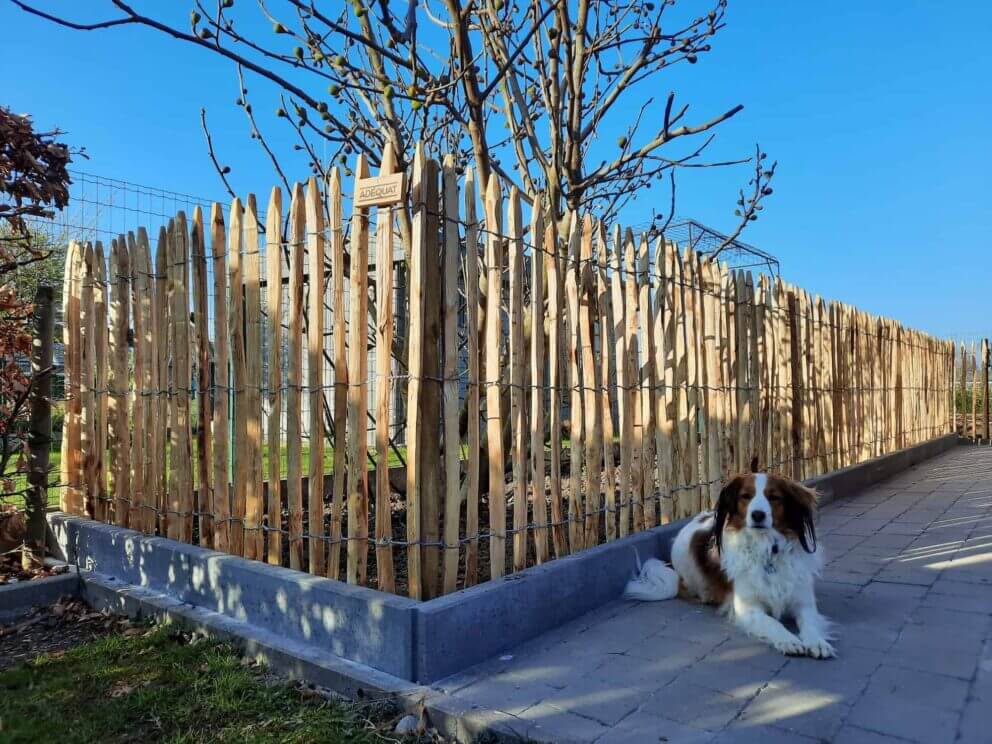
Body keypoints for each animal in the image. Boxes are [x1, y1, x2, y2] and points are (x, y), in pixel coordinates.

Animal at [624, 474, 832, 660]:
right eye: (746, 496)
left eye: (774, 497)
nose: (757, 515)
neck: (765, 549)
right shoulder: (746, 608)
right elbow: (772, 622)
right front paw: (788, 640)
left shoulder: (804, 603)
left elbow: (810, 624)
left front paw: (817, 642)